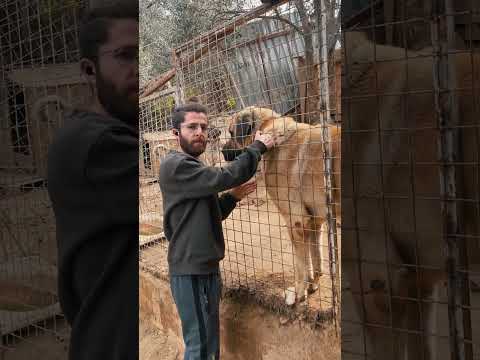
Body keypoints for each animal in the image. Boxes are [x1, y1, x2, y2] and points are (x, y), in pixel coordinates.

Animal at [222, 106, 342, 304]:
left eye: (232, 132)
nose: (223, 152)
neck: (268, 127)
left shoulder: (296, 221)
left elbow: (300, 264)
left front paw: (299, 292)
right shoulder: (314, 222)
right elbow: (315, 261)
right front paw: (312, 285)